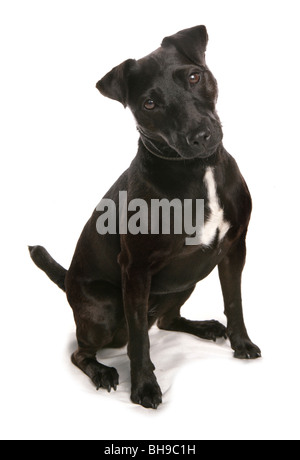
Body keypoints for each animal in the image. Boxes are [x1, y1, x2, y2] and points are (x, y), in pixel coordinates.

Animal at [29, 25, 262, 408]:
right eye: (149, 103)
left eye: (194, 76)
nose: (200, 136)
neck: (198, 170)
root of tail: (69, 283)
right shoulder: (136, 270)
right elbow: (140, 339)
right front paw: (143, 387)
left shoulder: (233, 248)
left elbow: (234, 301)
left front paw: (240, 342)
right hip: (106, 309)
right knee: (83, 351)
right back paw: (103, 371)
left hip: (187, 281)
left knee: (166, 320)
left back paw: (204, 327)